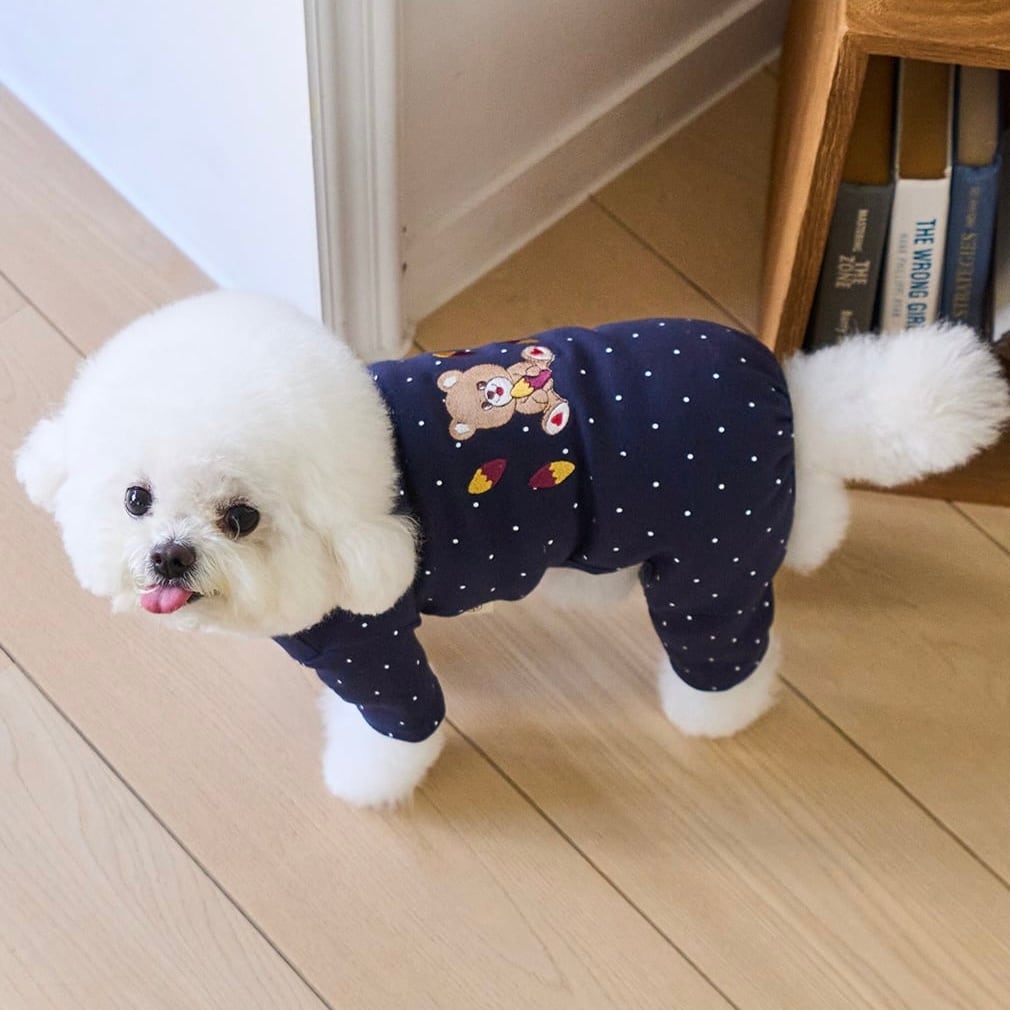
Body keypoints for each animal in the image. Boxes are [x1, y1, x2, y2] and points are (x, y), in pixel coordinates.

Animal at [15, 291, 1010, 806]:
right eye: (137, 500)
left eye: (242, 518)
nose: (169, 558)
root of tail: (790, 398)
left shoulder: (373, 649)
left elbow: (396, 729)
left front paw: (362, 784)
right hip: (744, 516)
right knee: (813, 512)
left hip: (710, 564)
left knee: (727, 650)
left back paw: (715, 716)